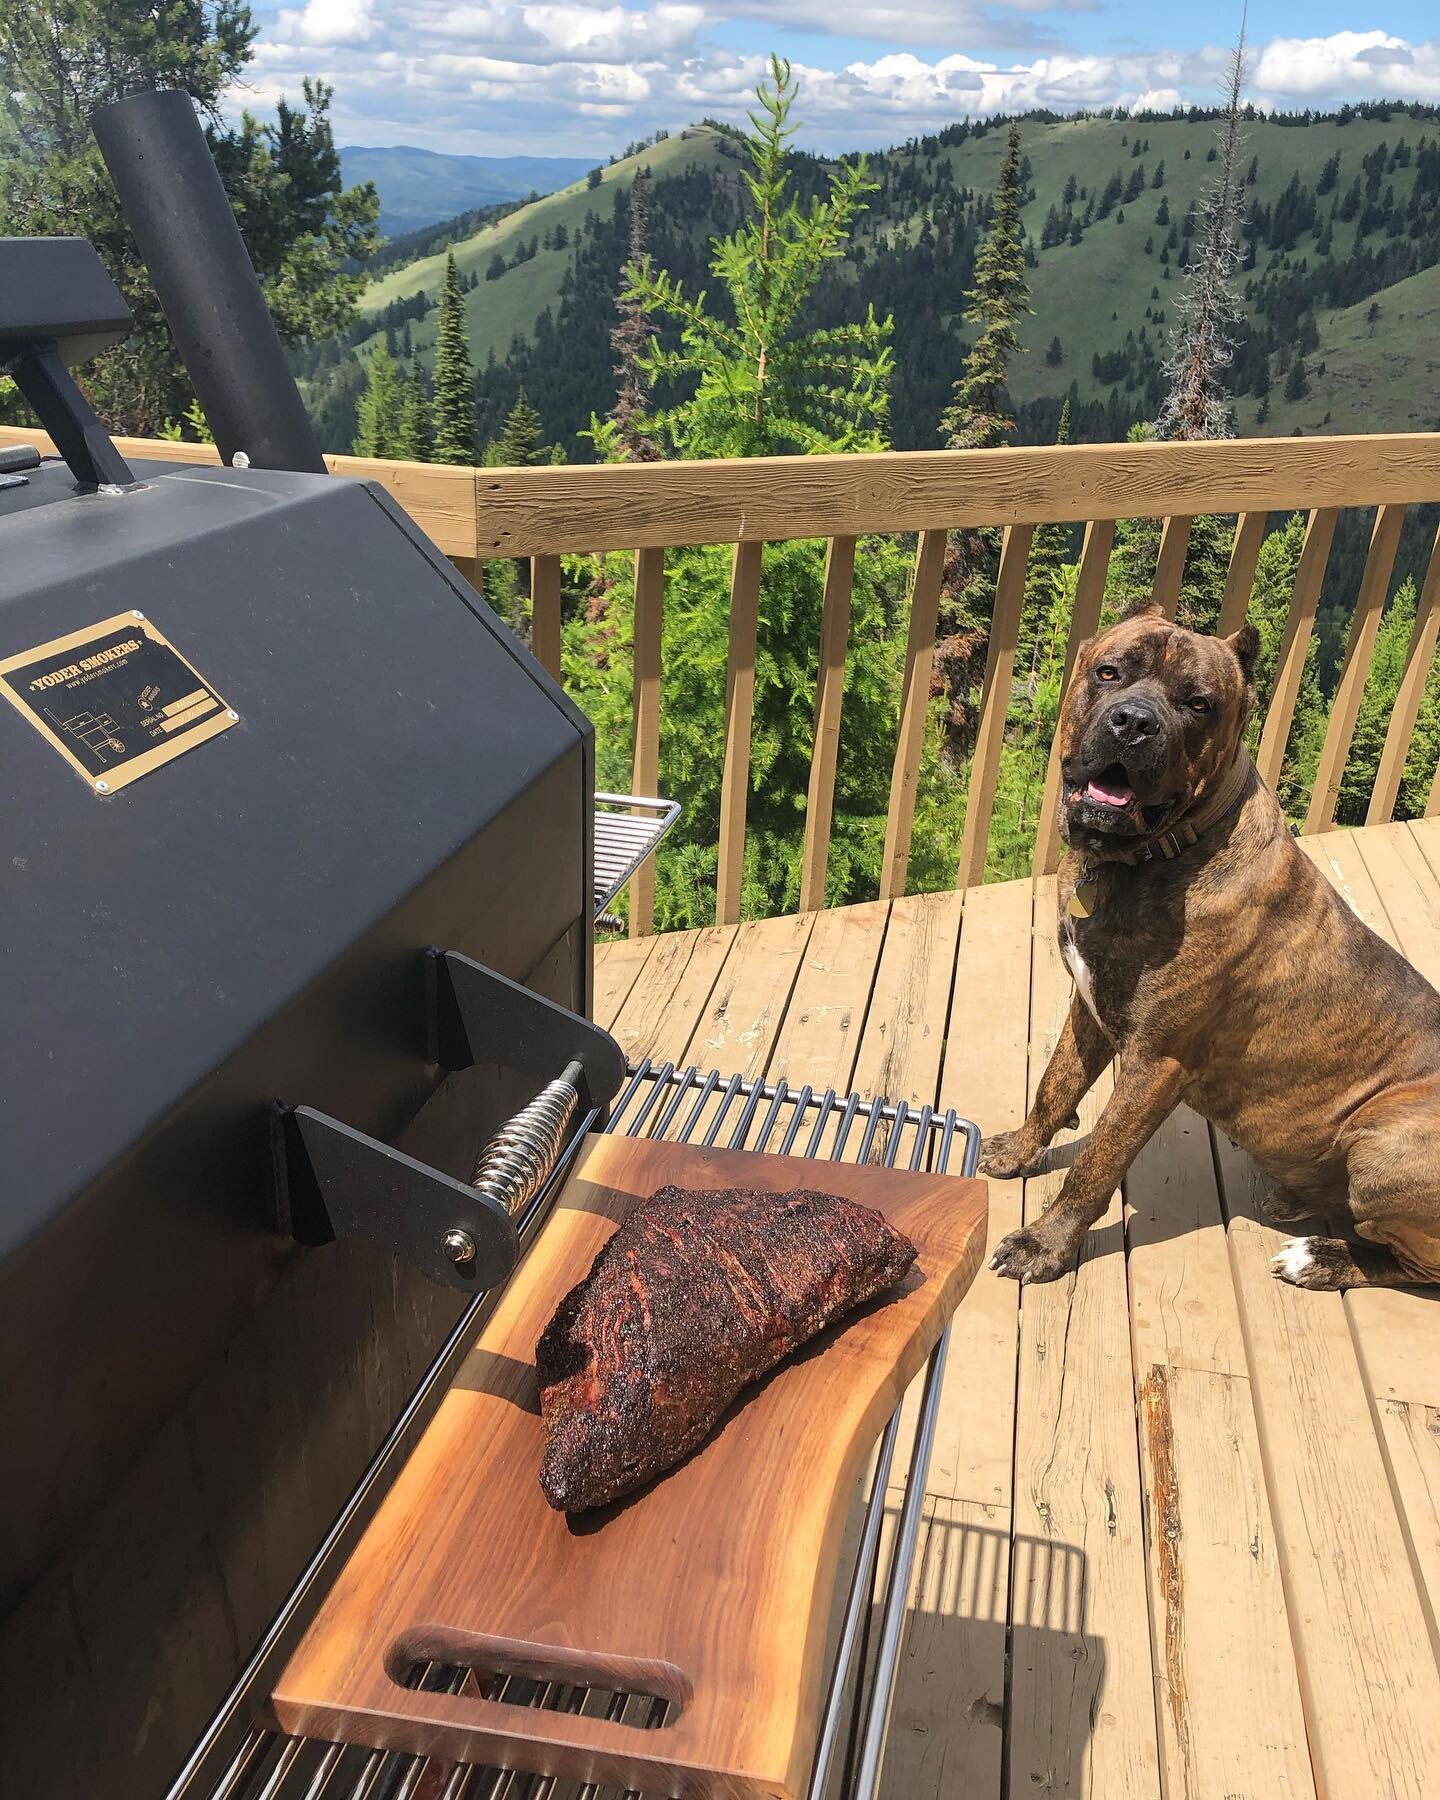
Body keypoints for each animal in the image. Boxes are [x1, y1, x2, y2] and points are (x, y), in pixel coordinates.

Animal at [986, 608, 1440, 1296]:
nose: (1133, 723)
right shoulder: (1089, 1008)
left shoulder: (1155, 1065)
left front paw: (1045, 1244)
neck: (1153, 856)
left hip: (1386, 1146)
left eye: (1198, 704)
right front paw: (1018, 1150)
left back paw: (1321, 1257)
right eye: (1109, 672)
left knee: (1417, 1264)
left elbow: (1096, 1163)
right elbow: (1054, 1088)